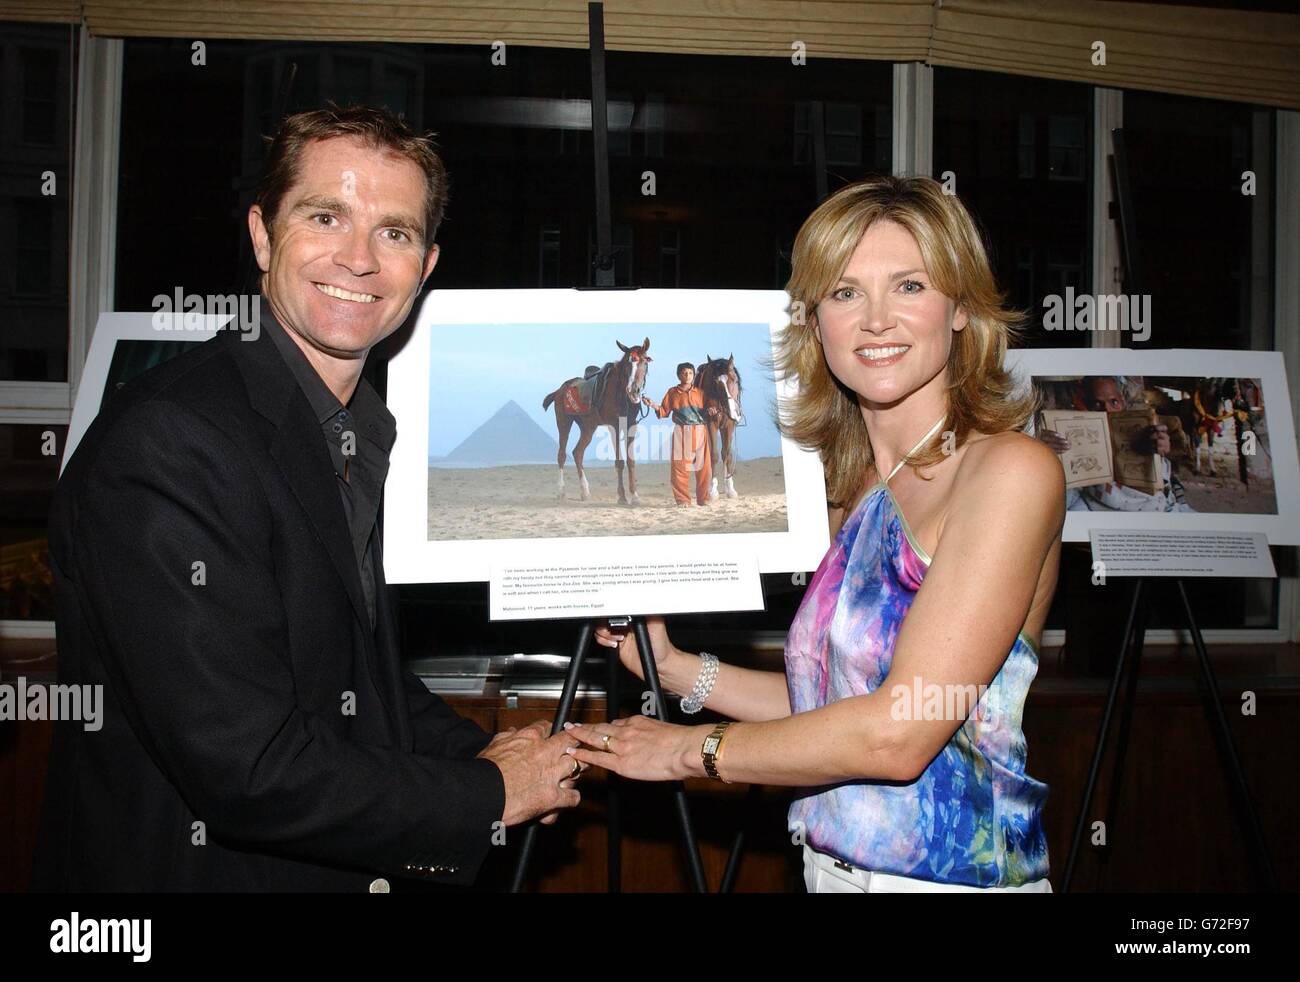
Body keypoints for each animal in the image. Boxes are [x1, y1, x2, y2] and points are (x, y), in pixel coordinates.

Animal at [543, 340, 655, 507]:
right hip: (564, 422)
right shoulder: (615, 425)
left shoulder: (631, 425)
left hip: (588, 427)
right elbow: (620, 462)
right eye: (627, 365)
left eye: (645, 361)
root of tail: (559, 391)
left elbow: (631, 461)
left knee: (577, 452)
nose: (633, 390)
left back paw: (585, 492)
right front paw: (622, 497)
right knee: (562, 454)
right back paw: (561, 491)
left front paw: (635, 496)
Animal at [696, 356, 748, 499]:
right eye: (716, 383)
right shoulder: (711, 423)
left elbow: (727, 454)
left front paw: (730, 488)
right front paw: (712, 490)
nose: (732, 411)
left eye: (735, 380)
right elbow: (713, 455)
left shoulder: (729, 425)